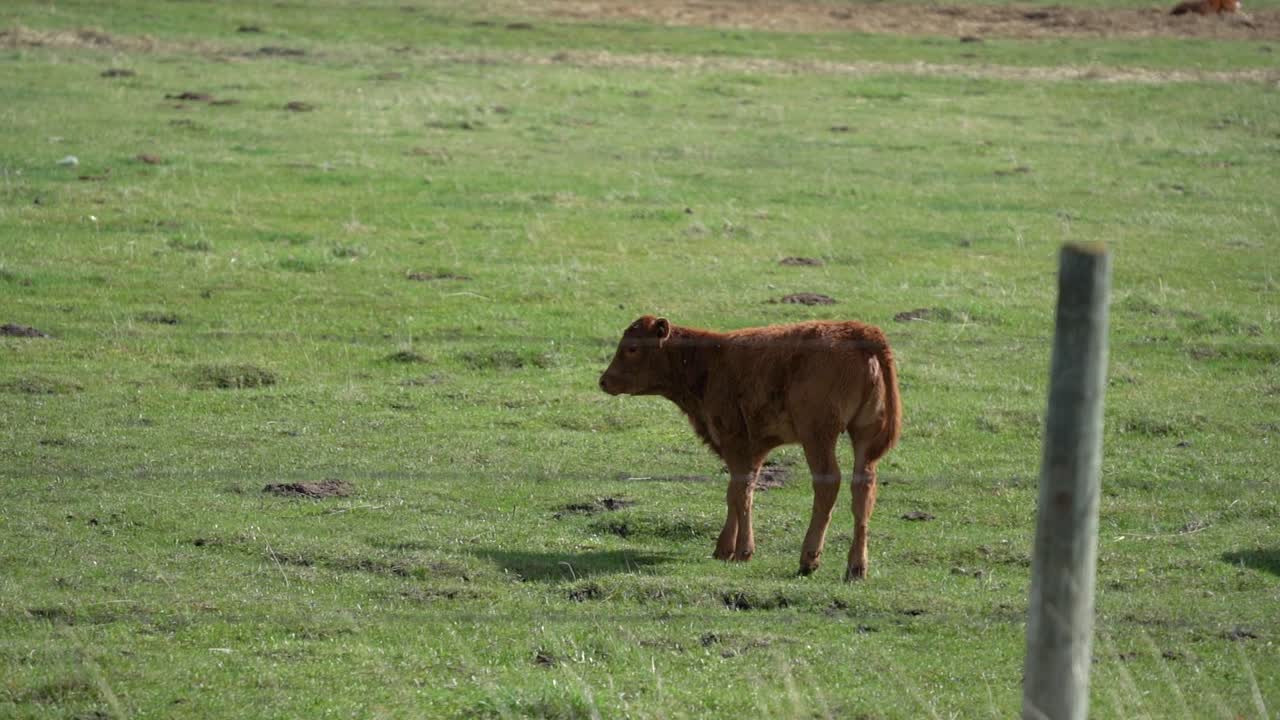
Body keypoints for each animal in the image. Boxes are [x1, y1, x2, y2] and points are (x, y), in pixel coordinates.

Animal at [599, 315, 902, 581]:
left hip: (817, 435)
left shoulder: (735, 440)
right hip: (864, 437)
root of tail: (859, 330)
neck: (709, 360)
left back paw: (808, 559)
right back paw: (856, 567)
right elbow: (736, 492)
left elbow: (741, 492)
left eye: (632, 348)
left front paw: (742, 551)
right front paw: (724, 548)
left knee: (828, 484)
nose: (603, 381)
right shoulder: (752, 448)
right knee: (863, 489)